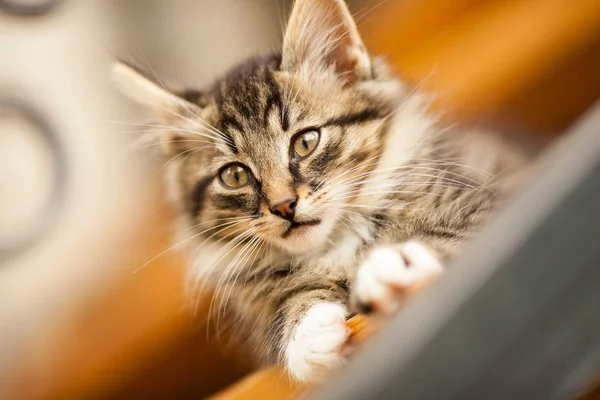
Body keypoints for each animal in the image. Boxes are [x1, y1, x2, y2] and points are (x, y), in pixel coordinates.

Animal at [112, 0, 524, 382]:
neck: (339, 244)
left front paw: (392, 264)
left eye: (306, 142)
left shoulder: (484, 198)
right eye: (235, 176)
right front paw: (308, 336)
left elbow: (446, 235)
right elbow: (289, 306)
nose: (283, 206)